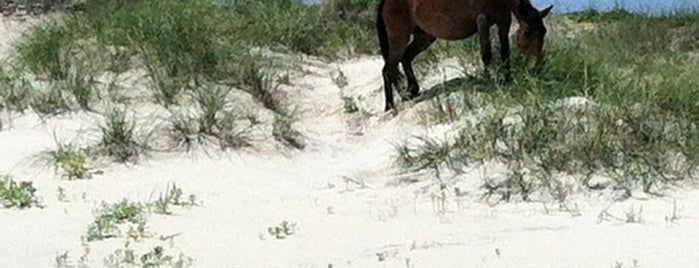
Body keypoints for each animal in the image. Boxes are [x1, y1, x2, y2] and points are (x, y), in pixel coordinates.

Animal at [378, 0, 552, 111]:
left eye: (544, 32)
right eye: (527, 31)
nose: (537, 64)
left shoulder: (504, 20)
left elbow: (505, 52)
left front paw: (507, 79)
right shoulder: (482, 20)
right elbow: (486, 53)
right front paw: (488, 81)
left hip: (424, 36)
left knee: (405, 58)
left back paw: (403, 96)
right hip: (399, 38)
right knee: (389, 68)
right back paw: (398, 99)